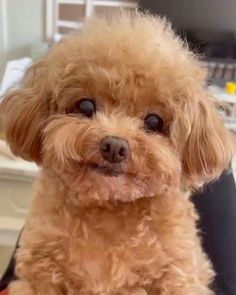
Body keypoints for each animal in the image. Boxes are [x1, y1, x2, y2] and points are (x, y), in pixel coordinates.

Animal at [0, 11, 232, 295]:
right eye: (86, 106)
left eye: (154, 121)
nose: (114, 146)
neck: (109, 209)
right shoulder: (39, 274)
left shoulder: (178, 277)